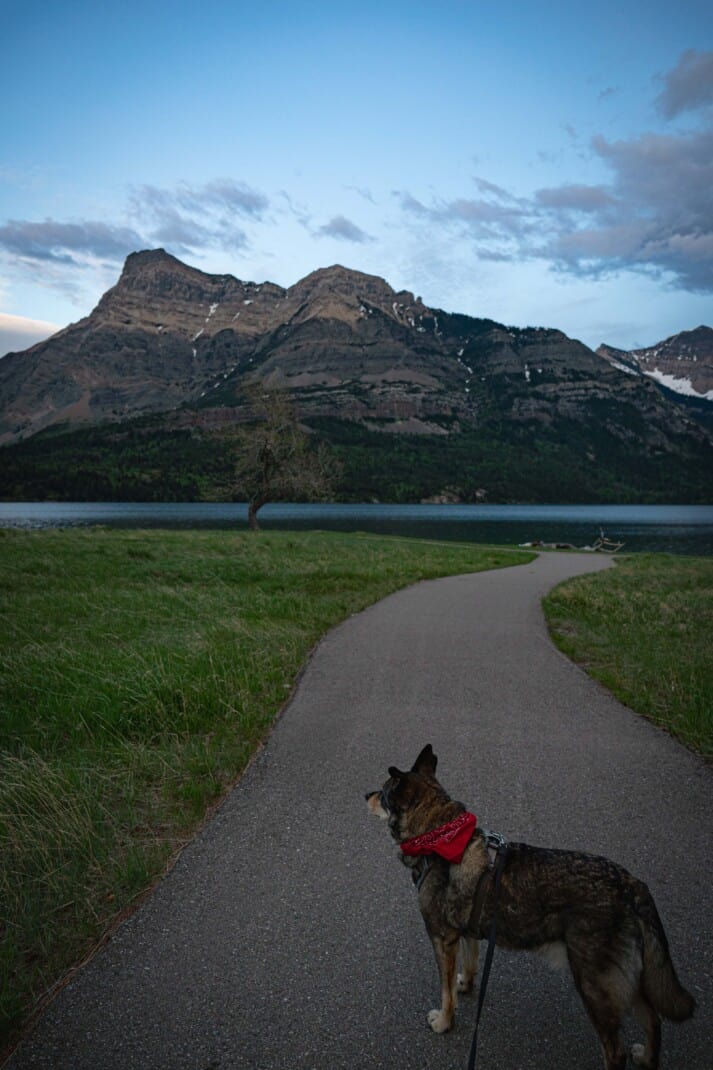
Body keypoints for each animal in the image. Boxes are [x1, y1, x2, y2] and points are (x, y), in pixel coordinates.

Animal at [363, 744, 689, 1070]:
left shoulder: (442, 939)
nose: (365, 794)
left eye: (383, 791)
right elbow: (469, 966)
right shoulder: (467, 932)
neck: (439, 836)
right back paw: (646, 1057)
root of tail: (633, 887)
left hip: (595, 984)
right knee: (653, 1020)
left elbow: (446, 995)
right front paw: (465, 986)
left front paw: (444, 1022)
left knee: (616, 1050)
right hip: (627, 980)